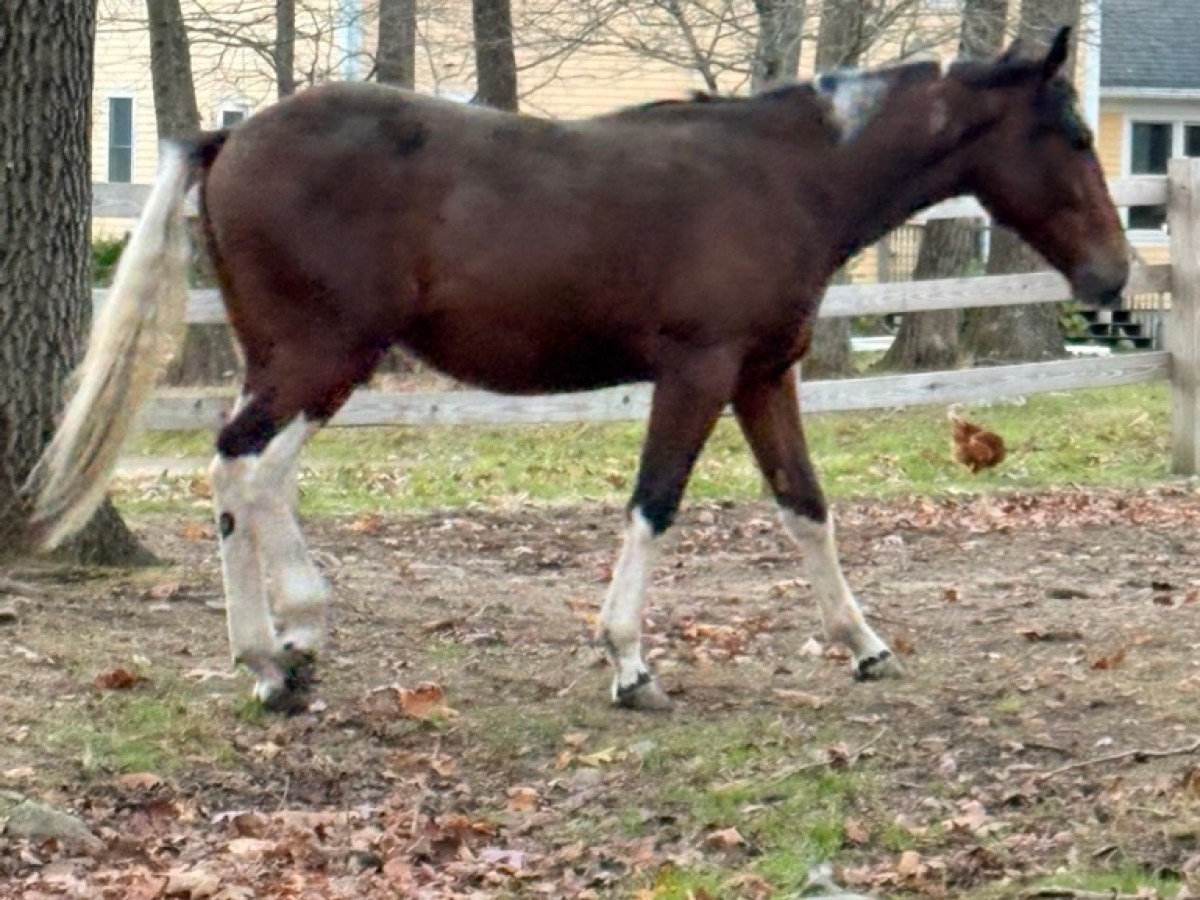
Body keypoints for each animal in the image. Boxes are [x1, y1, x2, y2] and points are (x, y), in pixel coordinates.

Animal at [29, 27, 1128, 713]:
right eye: (1074, 135)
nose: (1114, 277)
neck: (785, 180)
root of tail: (230, 135)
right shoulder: (698, 374)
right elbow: (655, 504)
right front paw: (630, 664)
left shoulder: (764, 377)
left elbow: (806, 507)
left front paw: (865, 647)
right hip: (322, 359)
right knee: (243, 469)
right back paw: (275, 656)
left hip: (298, 363)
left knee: (252, 478)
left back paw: (286, 652)